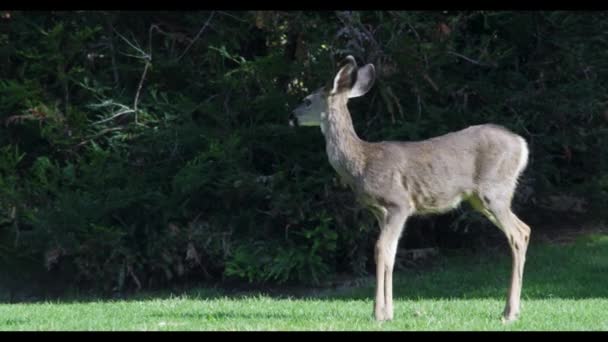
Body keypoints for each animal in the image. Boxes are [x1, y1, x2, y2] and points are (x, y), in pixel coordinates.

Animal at [288, 56, 528, 324]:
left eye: (307, 100)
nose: (291, 116)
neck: (361, 163)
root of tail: (521, 144)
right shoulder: (380, 212)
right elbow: (391, 252)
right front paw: (388, 311)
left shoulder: (398, 203)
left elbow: (380, 249)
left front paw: (379, 314)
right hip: (482, 198)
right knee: (525, 229)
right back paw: (513, 309)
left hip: (493, 191)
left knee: (517, 235)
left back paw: (509, 312)